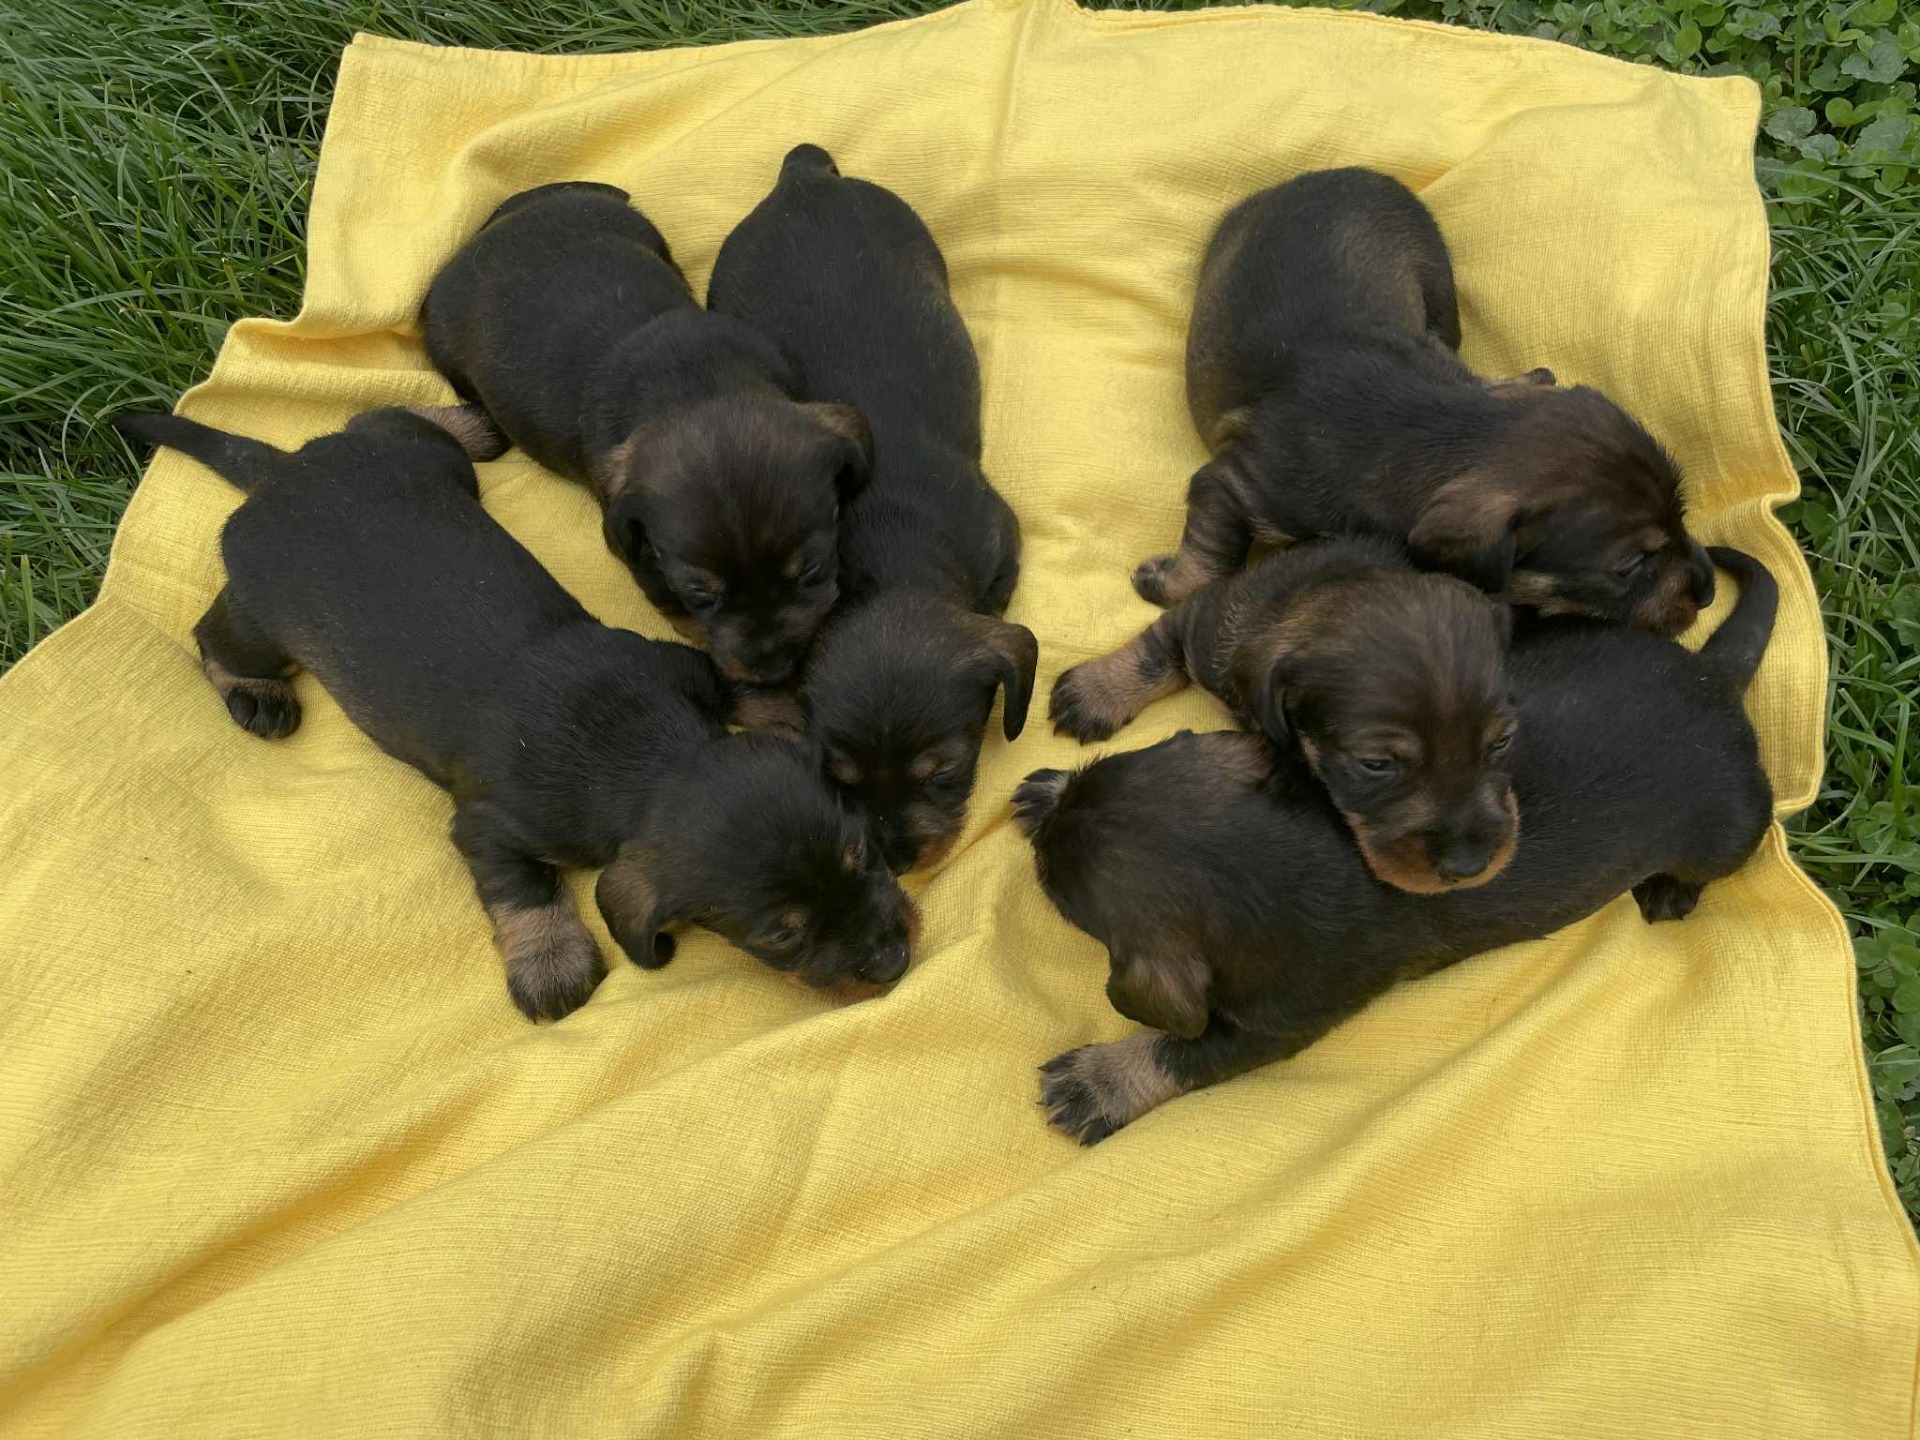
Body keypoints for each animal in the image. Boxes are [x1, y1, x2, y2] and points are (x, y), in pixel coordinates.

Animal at [115, 406, 915, 1022]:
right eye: (781, 936)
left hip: (419, 459)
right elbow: (526, 892)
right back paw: (256, 692)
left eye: (861, 854)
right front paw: (551, 963)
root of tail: (279, 472)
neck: (644, 751)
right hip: (265, 620)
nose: (895, 960)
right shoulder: (488, 829)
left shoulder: (683, 668)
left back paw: (467, 421)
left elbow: (736, 683)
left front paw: (784, 706)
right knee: (212, 636)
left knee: (390, 419)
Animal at [422, 181, 872, 687]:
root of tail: (489, 234)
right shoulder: (642, 556)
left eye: (812, 569)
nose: (772, 672)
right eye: (699, 594)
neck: (695, 386)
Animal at [707, 144, 1036, 873]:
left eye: (945, 774)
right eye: (840, 780)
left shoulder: (1002, 538)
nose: (897, 857)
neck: (894, 565)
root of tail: (804, 178)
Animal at [1052, 536, 1518, 892]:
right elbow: (1151, 653)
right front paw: (1093, 693)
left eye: (1503, 741)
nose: (1470, 868)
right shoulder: (1201, 621)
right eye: (1375, 764)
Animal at [1134, 167, 1715, 636]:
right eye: (1629, 567)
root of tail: (1348, 170)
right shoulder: (1234, 485)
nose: (1709, 592)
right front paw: (1161, 582)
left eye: (1682, 515)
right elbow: (1210, 562)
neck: (1439, 427)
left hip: (1440, 298)